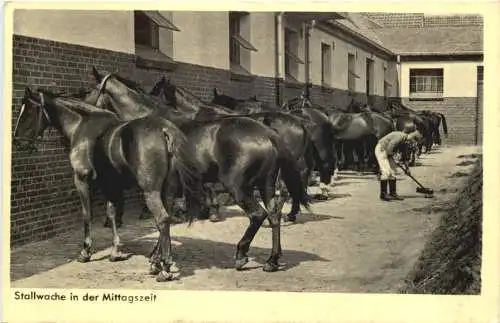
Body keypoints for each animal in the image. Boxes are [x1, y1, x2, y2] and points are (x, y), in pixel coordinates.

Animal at [12, 87, 203, 282]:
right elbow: (111, 214)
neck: (81, 127)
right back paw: (157, 261)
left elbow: (87, 214)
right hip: (166, 189)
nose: (18, 142)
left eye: (29, 112)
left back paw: (164, 268)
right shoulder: (110, 185)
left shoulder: (81, 180)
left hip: (151, 190)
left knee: (162, 219)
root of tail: (165, 131)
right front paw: (116, 251)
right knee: (166, 219)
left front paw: (86, 251)